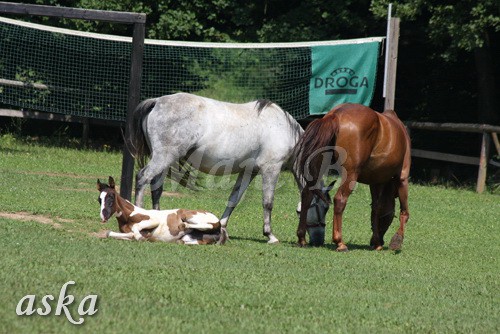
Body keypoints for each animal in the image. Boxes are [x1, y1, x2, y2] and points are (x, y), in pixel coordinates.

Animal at [125, 92, 328, 244]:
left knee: (156, 187)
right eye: (324, 208)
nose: (318, 241)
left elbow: (234, 199)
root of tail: (157, 101)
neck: (281, 127)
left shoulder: (249, 171)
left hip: (164, 159)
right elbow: (268, 203)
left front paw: (222, 227)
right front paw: (270, 235)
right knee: (142, 178)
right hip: (163, 157)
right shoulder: (271, 168)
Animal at [292, 103, 410, 252]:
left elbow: (375, 209)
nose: (378, 241)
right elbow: (404, 212)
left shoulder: (376, 182)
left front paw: (377, 241)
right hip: (350, 175)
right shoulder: (402, 178)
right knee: (339, 200)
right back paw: (340, 243)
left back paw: (302, 238)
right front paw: (397, 240)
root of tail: (335, 115)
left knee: (307, 195)